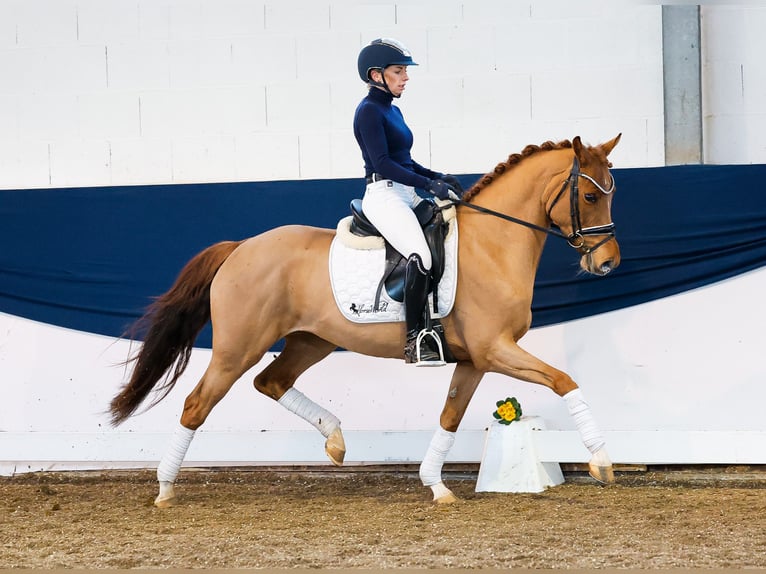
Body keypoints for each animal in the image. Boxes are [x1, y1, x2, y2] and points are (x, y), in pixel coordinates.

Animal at [108, 134, 624, 508]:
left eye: (610, 194)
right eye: (587, 195)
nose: (608, 264)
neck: (493, 244)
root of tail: (240, 248)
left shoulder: (475, 359)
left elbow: (451, 416)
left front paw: (436, 485)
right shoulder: (495, 349)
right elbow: (564, 380)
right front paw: (601, 461)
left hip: (309, 340)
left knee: (271, 382)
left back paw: (335, 441)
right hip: (238, 348)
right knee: (197, 404)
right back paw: (165, 490)